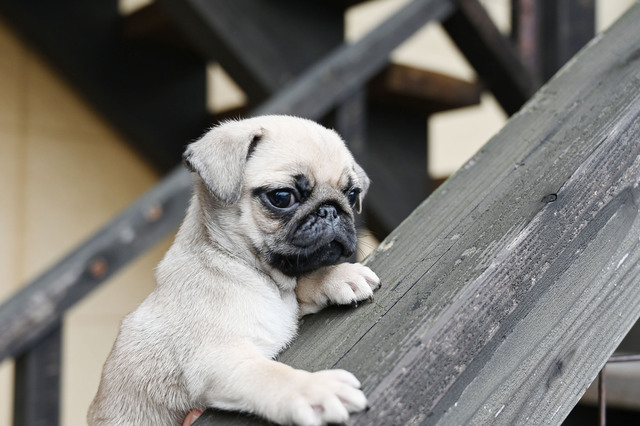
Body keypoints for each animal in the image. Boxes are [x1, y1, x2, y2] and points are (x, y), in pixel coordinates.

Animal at [88, 115, 380, 426]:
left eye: (352, 195)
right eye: (282, 197)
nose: (331, 210)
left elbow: (302, 284)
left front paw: (338, 275)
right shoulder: (221, 359)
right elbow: (272, 376)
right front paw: (316, 389)